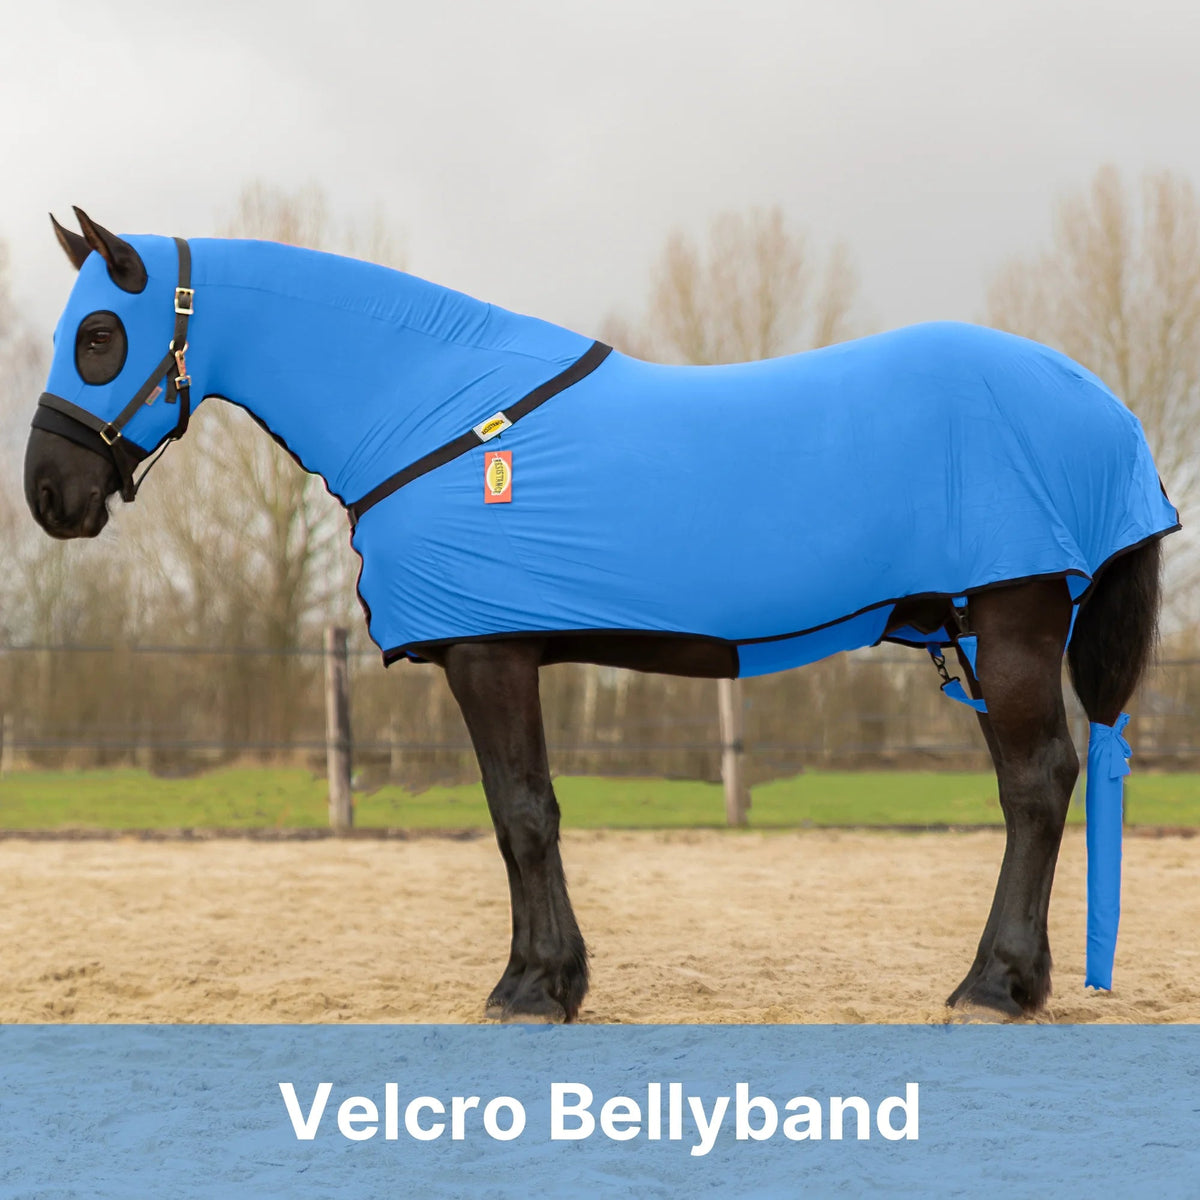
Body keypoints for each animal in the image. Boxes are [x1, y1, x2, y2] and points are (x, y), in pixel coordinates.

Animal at [25, 209, 1178, 1023]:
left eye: (98, 335)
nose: (49, 495)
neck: (437, 406)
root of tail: (1095, 400)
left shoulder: (487, 653)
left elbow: (522, 814)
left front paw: (533, 988)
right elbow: (522, 815)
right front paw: (551, 979)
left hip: (1014, 620)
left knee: (1036, 785)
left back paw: (993, 986)